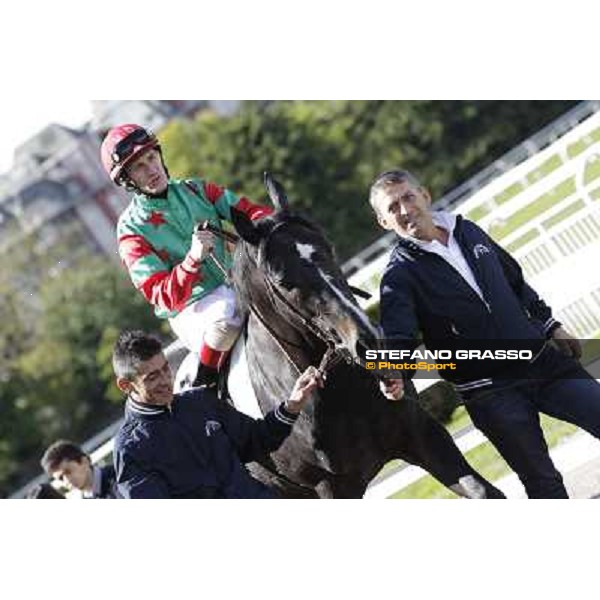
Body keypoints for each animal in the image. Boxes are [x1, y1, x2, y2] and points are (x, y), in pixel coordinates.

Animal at [227, 176, 504, 500]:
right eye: (282, 281)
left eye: (329, 248)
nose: (370, 341)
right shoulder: (333, 488)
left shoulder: (421, 433)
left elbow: (483, 492)